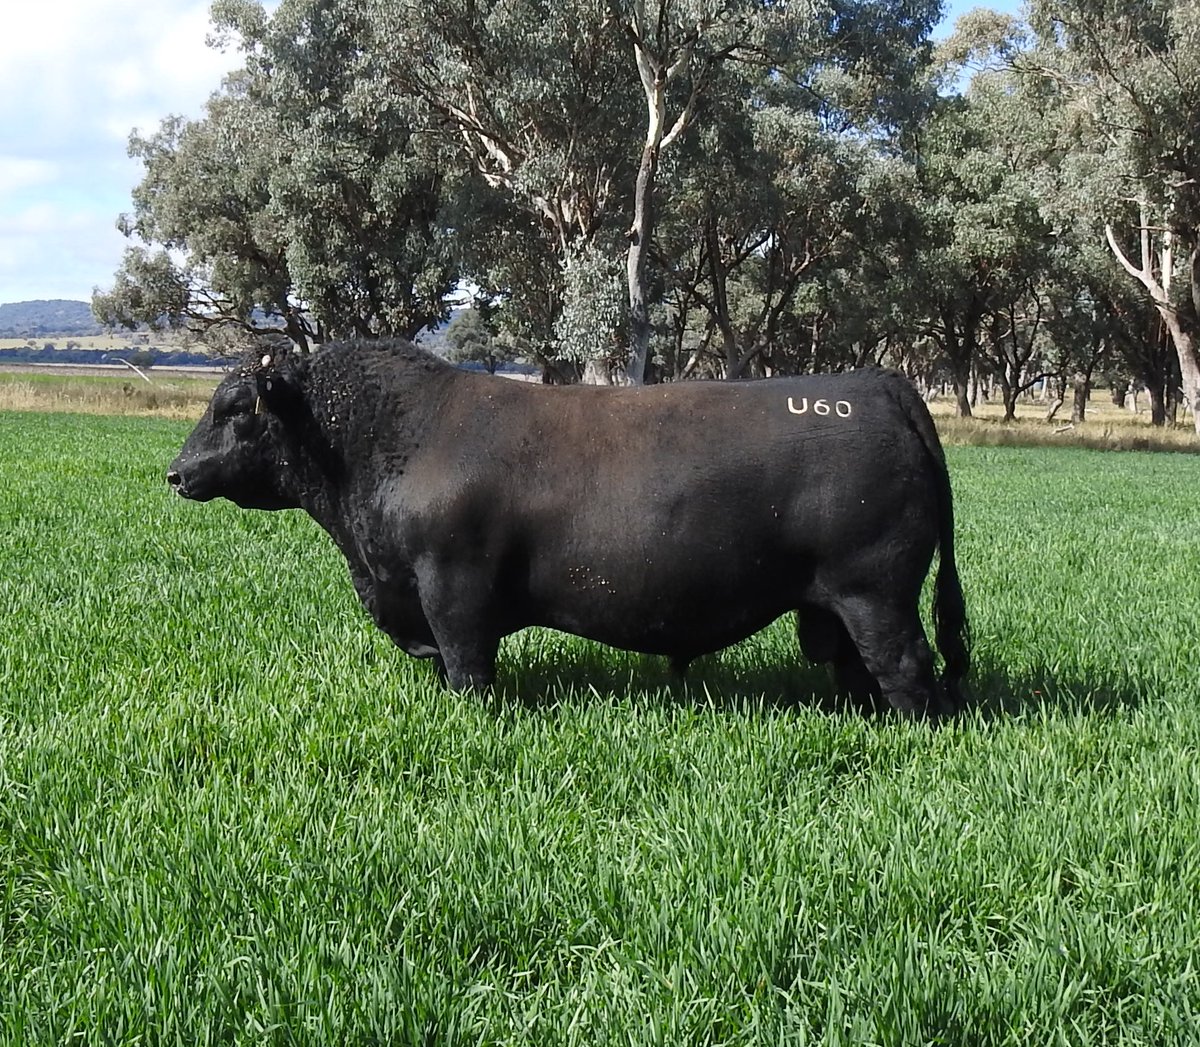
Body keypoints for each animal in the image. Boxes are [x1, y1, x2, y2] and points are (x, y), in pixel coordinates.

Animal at [167, 338, 969, 718]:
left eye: (235, 409)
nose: (175, 473)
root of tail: (877, 383)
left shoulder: (452, 588)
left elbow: (468, 668)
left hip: (876, 591)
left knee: (906, 666)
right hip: (839, 602)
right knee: (857, 668)